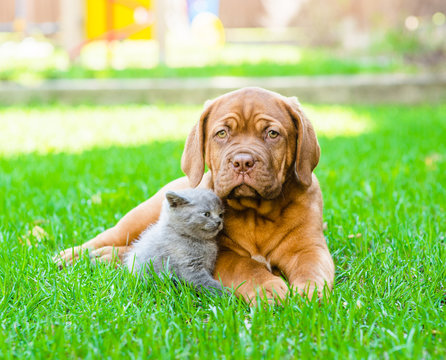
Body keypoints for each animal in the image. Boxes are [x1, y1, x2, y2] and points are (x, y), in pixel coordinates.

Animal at [55, 88, 334, 304]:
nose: (243, 162)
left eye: (272, 134)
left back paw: (107, 258)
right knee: (108, 238)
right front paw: (267, 287)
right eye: (222, 133)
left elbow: (311, 268)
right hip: (136, 219)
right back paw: (73, 256)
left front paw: (309, 292)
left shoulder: (309, 247)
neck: (256, 212)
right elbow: (247, 266)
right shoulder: (222, 254)